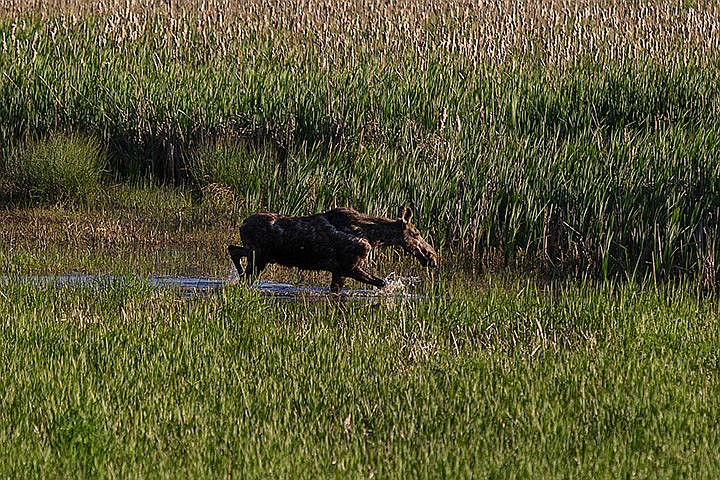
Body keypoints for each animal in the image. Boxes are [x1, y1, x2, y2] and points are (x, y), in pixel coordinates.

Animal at [228, 204, 436, 290]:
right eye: (416, 233)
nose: (432, 257)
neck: (373, 236)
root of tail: (242, 225)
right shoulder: (349, 266)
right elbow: (382, 282)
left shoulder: (338, 271)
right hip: (259, 257)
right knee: (242, 272)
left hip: (257, 254)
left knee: (233, 248)